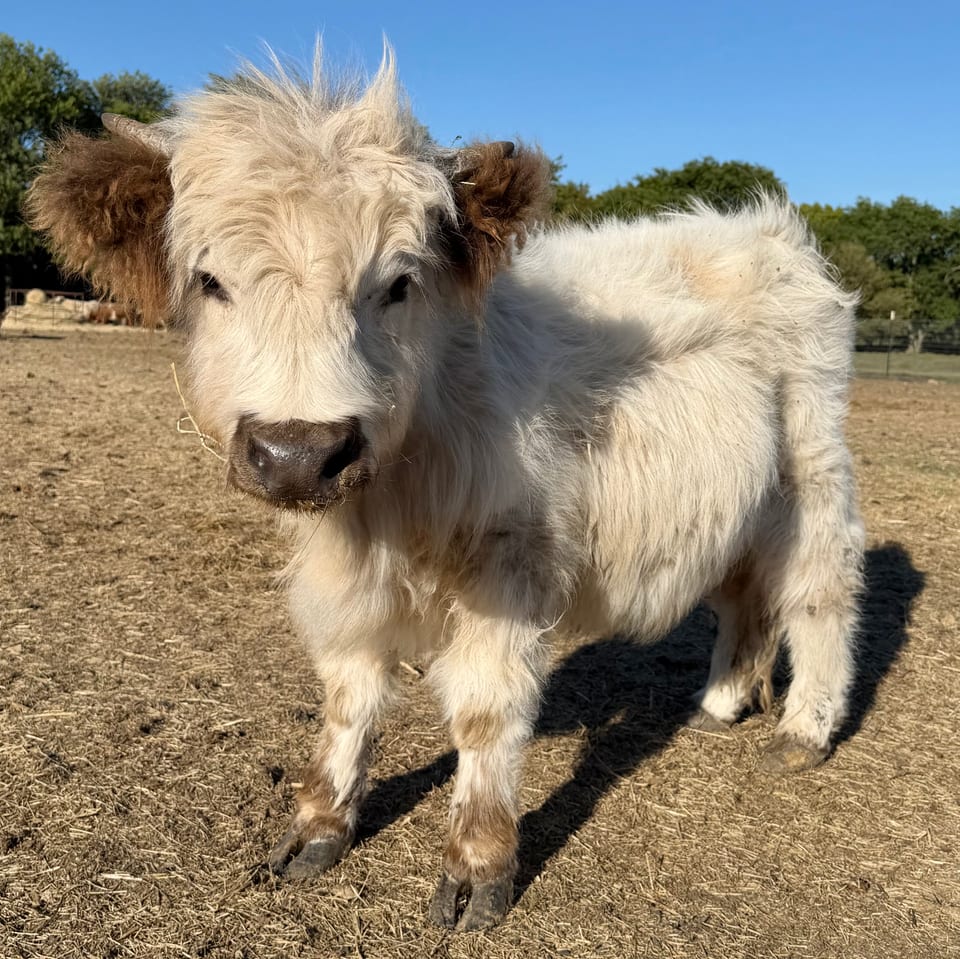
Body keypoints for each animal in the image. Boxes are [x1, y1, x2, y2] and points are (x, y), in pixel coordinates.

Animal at [26, 52, 864, 931]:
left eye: (399, 283)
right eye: (211, 279)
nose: (300, 452)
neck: (391, 499)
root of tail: (763, 229)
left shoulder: (512, 563)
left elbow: (485, 711)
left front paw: (477, 865)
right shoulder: (345, 581)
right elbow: (349, 696)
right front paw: (319, 823)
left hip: (812, 465)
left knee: (820, 588)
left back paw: (804, 729)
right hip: (741, 497)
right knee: (744, 591)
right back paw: (723, 700)